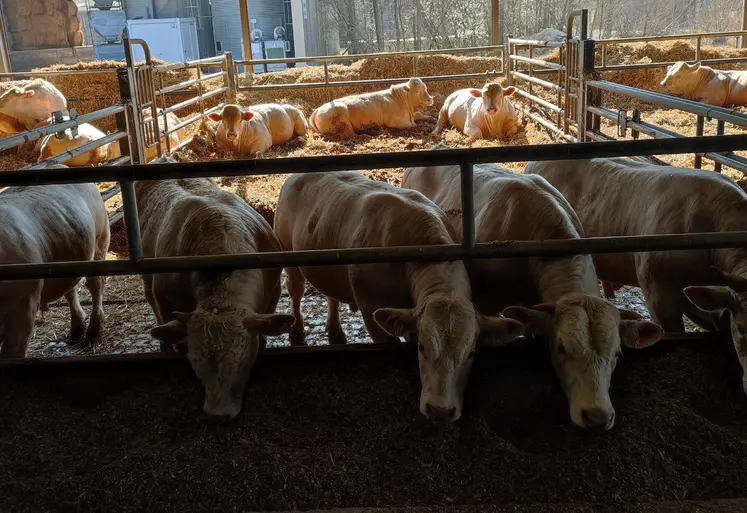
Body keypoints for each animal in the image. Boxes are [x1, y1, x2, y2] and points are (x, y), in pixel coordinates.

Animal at [0, 163, 109, 356]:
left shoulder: (24, 308)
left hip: (99, 239)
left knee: (96, 285)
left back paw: (94, 330)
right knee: (70, 290)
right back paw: (77, 328)